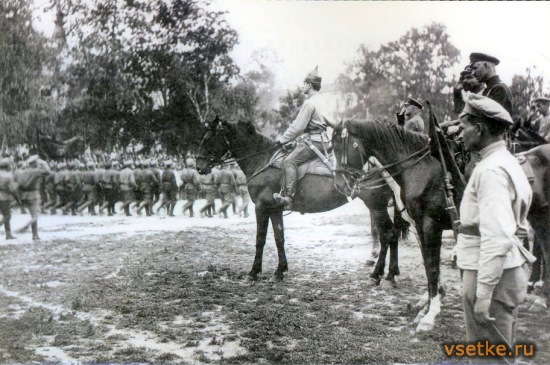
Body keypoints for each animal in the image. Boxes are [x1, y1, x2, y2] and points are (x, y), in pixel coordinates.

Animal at [197, 116, 410, 284]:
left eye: (208, 139)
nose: (199, 166)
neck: (263, 160)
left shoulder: (261, 208)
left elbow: (260, 240)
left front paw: (253, 272)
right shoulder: (275, 209)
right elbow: (279, 239)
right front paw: (280, 271)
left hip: (376, 206)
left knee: (388, 235)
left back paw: (379, 274)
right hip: (378, 207)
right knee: (390, 234)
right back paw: (388, 273)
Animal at [332, 119, 458, 330]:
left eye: (338, 147)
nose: (340, 185)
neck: (421, 169)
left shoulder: (431, 225)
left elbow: (432, 266)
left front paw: (430, 314)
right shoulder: (419, 225)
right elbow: (428, 263)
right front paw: (428, 303)